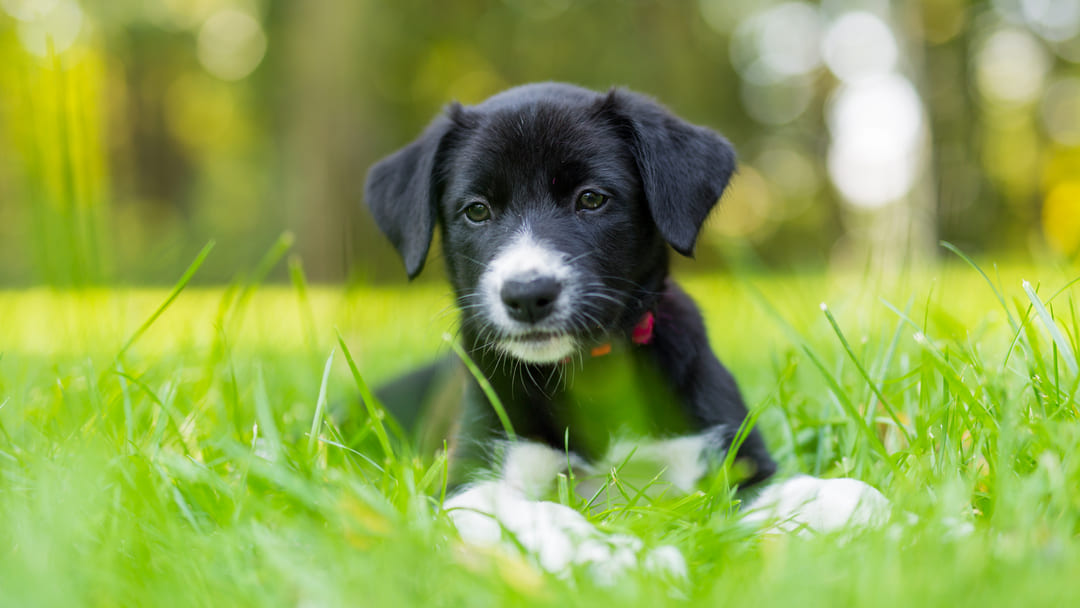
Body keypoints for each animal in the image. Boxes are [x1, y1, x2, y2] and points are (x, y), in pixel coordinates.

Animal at [362, 83, 885, 578]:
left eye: (592, 199)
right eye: (476, 210)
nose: (528, 294)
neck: (593, 373)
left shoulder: (728, 458)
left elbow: (785, 492)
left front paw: (853, 502)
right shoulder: (468, 484)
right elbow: (539, 514)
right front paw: (612, 555)